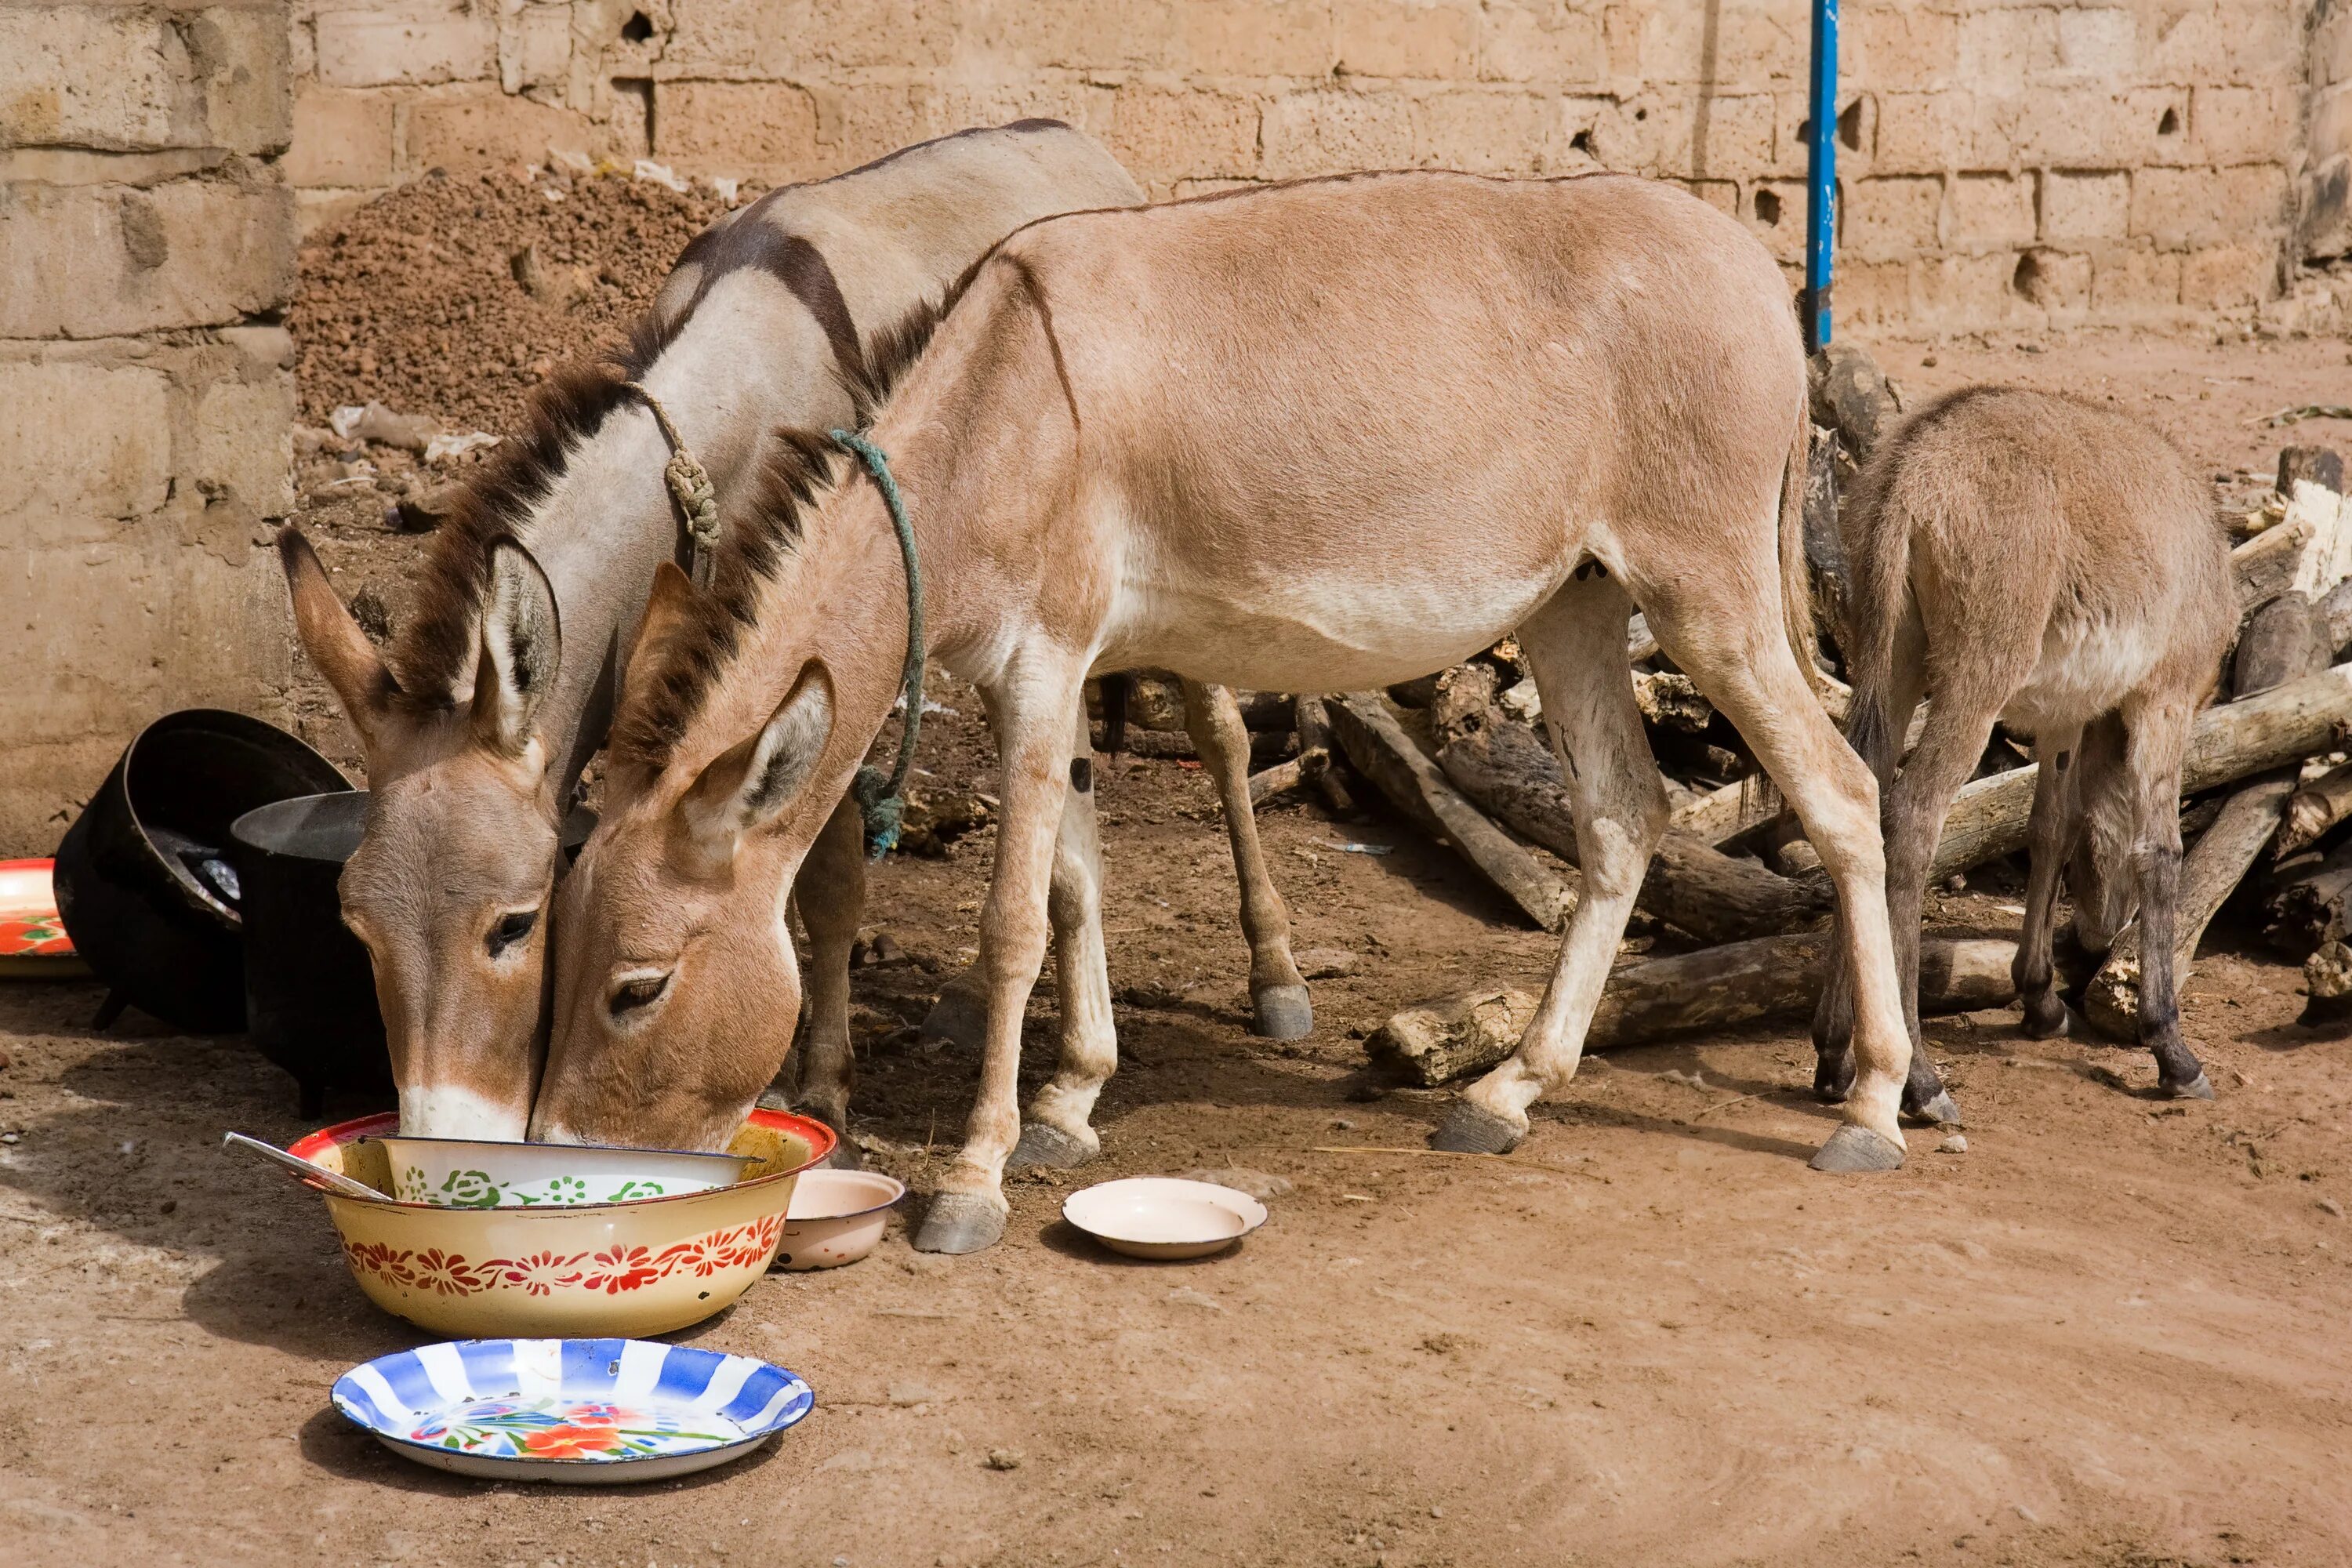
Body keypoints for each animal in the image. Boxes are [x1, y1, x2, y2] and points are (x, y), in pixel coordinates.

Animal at [278, 122, 1167, 1147]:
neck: (734, 390)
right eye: (357, 930)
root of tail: (1063, 134)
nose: (439, 1139)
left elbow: (826, 884)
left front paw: (821, 1079)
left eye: (515, 924)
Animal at [539, 171, 1929, 1260]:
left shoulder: (1043, 663)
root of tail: (1759, 275)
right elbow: (1075, 888)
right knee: (1627, 817)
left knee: (1843, 794)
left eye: (635, 988)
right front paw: (1070, 1106)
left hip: (1705, 589)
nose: (571, 1172)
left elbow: (1011, 924)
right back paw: (1509, 1091)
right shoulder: (1042, 674)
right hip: (1577, 599)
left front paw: (975, 1177)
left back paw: (1871, 1106)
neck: (1000, 412)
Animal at [1806, 390, 2230, 1100]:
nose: (2098, 938)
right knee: (1912, 821)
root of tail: (1913, 468)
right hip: (1974, 685)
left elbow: (2051, 828)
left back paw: (1836, 1052)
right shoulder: (2163, 702)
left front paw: (2039, 998)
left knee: (1857, 799)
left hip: (1891, 665)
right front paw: (2171, 1046)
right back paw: (1920, 1077)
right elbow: (2160, 853)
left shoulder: (2065, 718)